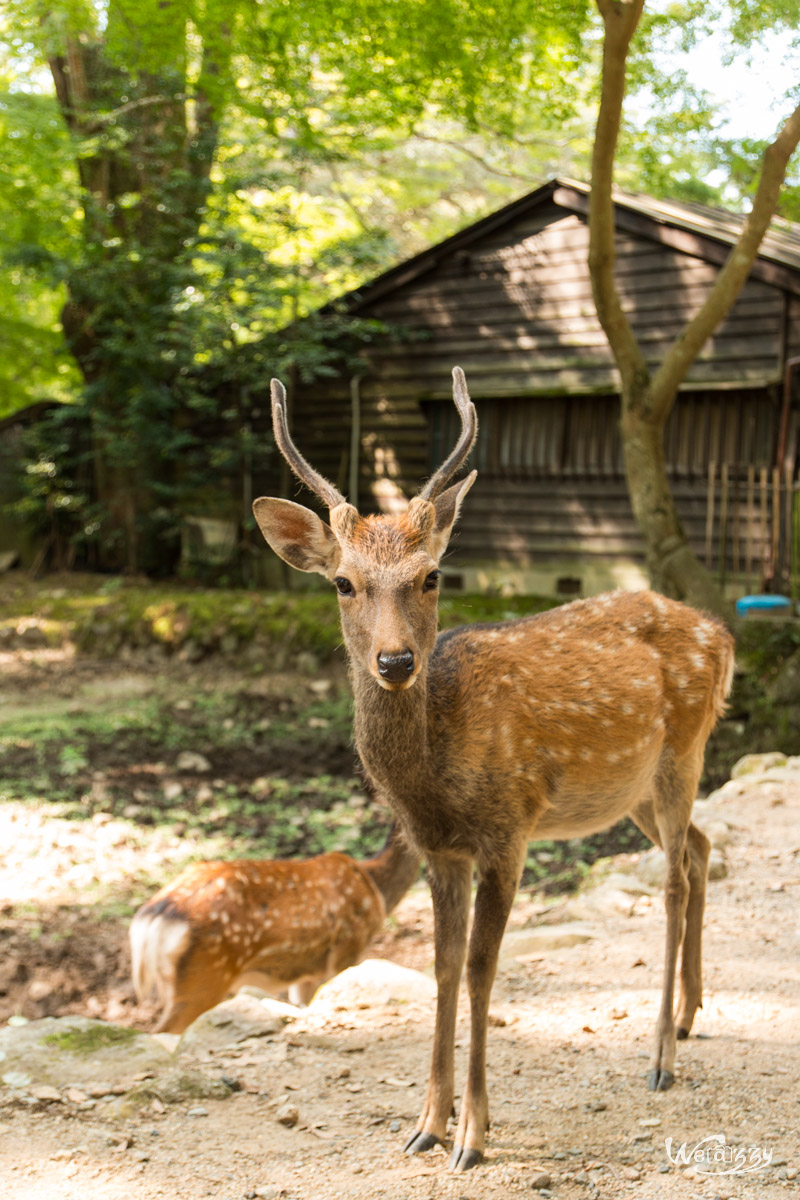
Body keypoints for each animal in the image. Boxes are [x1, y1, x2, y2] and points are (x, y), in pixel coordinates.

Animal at [130, 830, 419, 1036]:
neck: (376, 889)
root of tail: (154, 917)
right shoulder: (347, 949)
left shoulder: (306, 971)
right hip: (204, 976)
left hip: (172, 982)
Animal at [253, 367, 734, 1171]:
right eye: (344, 583)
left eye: (432, 576)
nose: (394, 661)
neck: (433, 783)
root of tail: (724, 634)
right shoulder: (439, 849)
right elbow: (444, 967)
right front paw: (425, 1123)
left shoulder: (509, 829)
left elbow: (482, 968)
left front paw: (473, 1135)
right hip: (630, 786)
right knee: (699, 848)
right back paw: (690, 1016)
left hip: (684, 750)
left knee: (672, 879)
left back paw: (662, 1057)